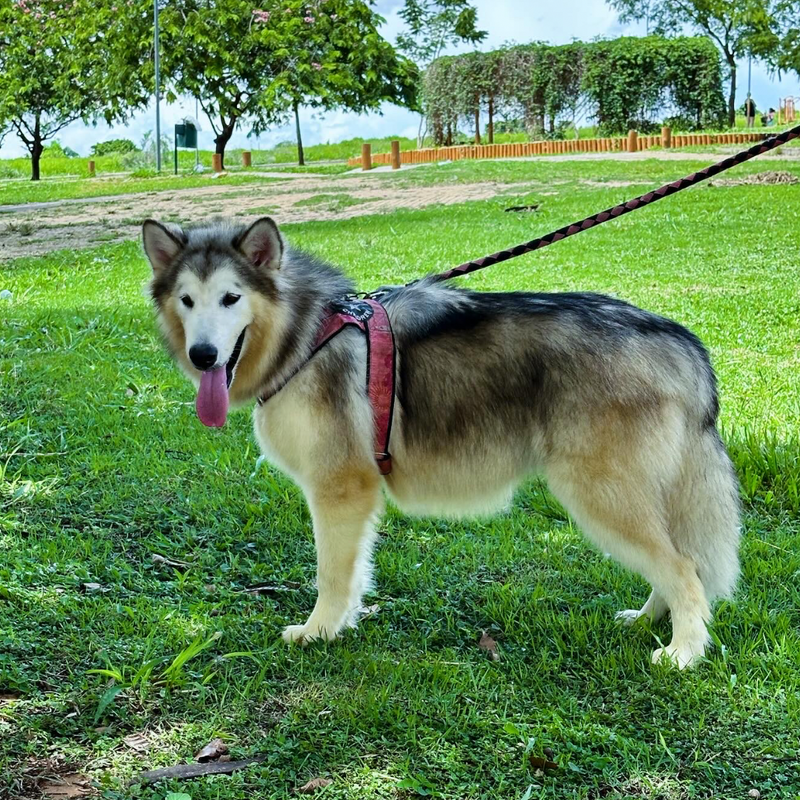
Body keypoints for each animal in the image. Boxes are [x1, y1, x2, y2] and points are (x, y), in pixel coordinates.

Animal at [141, 214, 740, 668]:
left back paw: (683, 653)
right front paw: (344, 624)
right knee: (677, 562)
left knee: (685, 570)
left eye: (231, 298)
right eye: (187, 300)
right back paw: (647, 620)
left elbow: (331, 575)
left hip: (601, 496)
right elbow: (354, 573)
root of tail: (680, 341)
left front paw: (319, 632)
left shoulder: (340, 489)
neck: (305, 336)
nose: (203, 356)